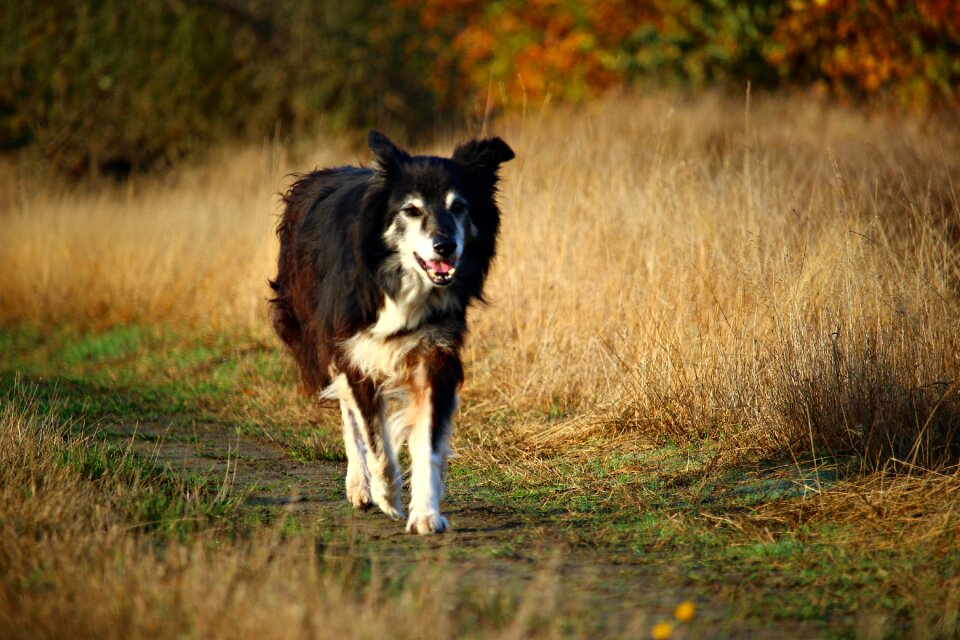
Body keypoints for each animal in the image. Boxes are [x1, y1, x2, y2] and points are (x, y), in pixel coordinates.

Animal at [266, 131, 512, 536]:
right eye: (411, 210)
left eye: (459, 206)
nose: (446, 247)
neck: (397, 281)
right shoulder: (354, 351)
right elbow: (373, 437)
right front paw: (386, 495)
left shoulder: (435, 355)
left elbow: (427, 441)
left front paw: (426, 513)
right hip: (319, 335)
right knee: (348, 415)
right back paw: (359, 486)